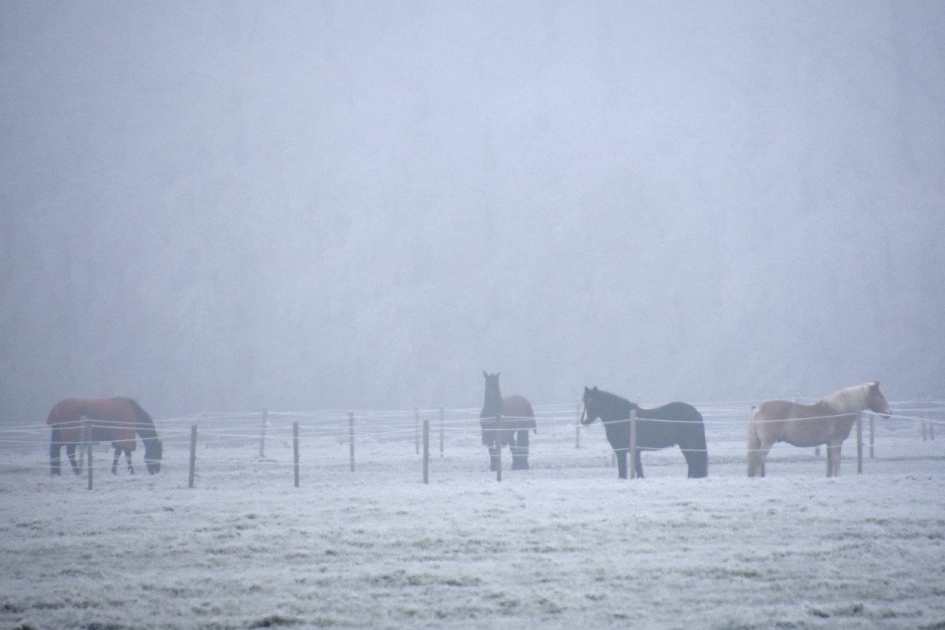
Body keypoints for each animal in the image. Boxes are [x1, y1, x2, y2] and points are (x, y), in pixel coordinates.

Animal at [747, 381, 890, 477]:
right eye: (880, 396)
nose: (889, 413)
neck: (839, 411)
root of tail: (759, 408)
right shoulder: (836, 441)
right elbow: (836, 460)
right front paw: (839, 476)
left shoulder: (829, 443)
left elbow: (830, 463)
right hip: (767, 442)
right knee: (759, 458)